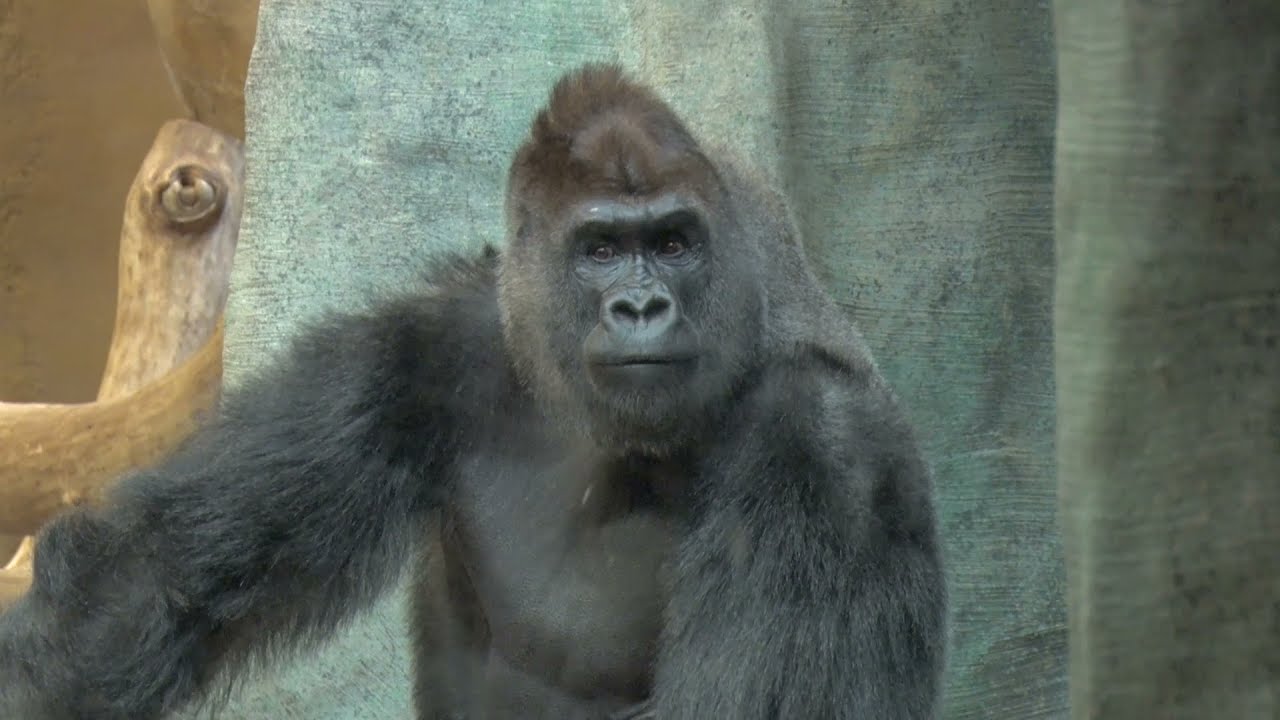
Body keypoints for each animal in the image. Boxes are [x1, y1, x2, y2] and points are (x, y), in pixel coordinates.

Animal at [0, 63, 948, 719]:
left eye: (675, 243)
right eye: (601, 250)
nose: (642, 307)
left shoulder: (824, 442)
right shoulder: (440, 344)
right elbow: (147, 581)